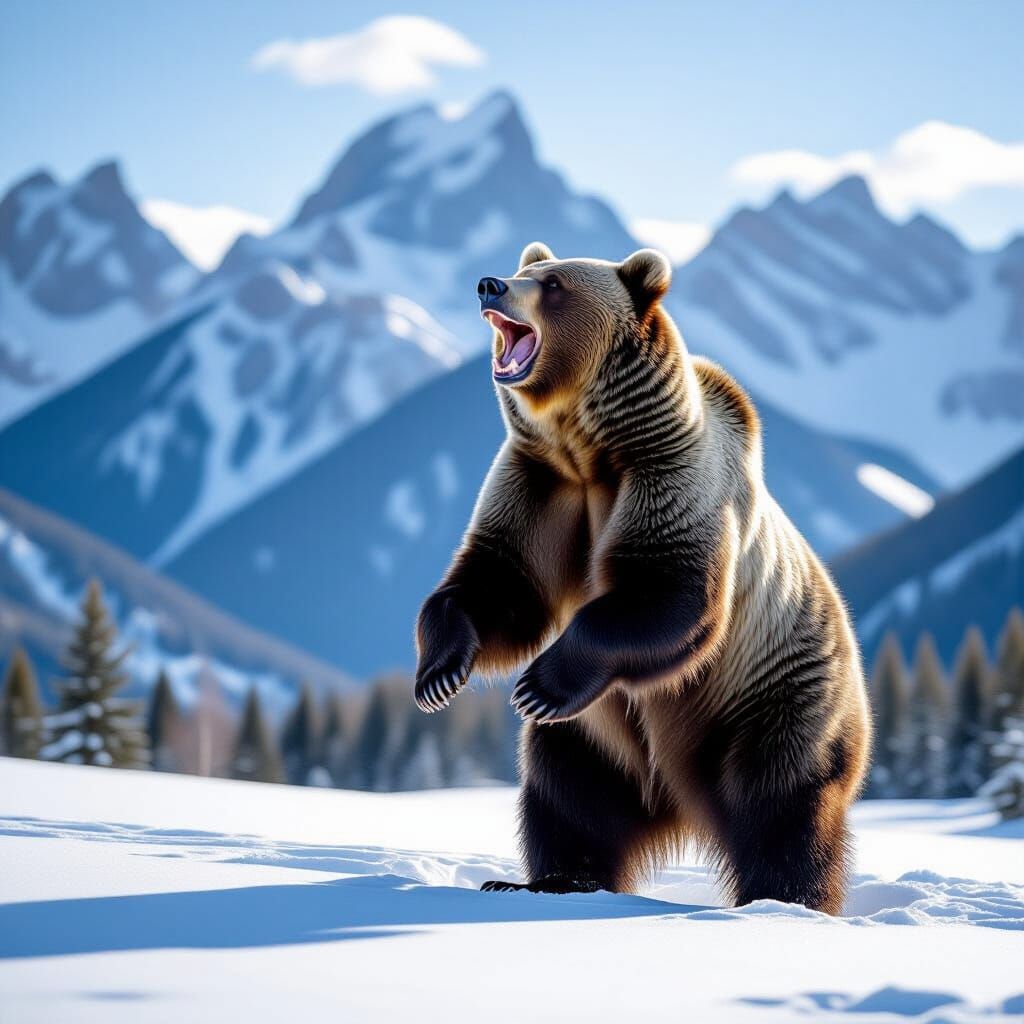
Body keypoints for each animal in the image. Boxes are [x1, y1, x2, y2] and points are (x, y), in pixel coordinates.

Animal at [413, 242, 871, 914]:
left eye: (553, 284)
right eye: (525, 270)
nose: (490, 284)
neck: (591, 449)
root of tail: (679, 801)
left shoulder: (671, 475)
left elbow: (667, 592)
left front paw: (538, 682)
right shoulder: (539, 482)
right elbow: (503, 579)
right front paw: (441, 673)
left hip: (775, 694)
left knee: (782, 805)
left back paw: (782, 900)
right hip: (600, 737)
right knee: (568, 793)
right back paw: (546, 879)